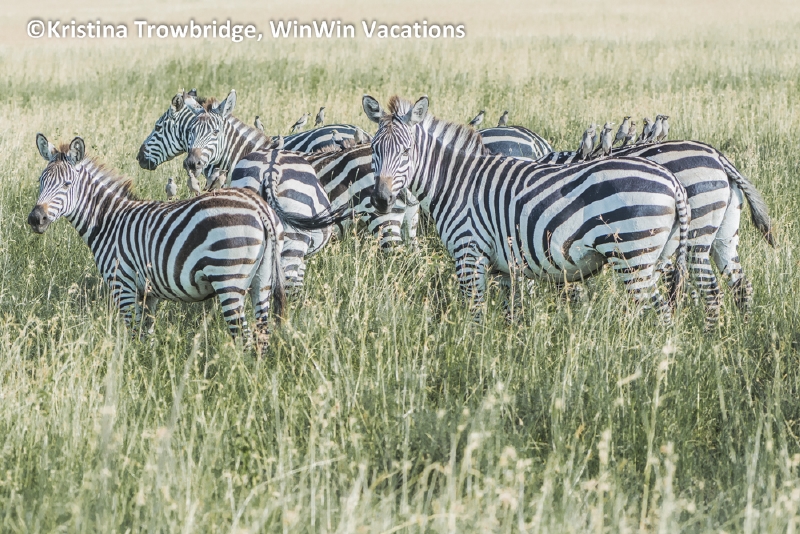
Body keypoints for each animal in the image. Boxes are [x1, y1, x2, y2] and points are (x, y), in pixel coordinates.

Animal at [29, 134, 286, 342]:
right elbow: (147, 335)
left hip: (229, 279)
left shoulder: (122, 285)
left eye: (66, 184)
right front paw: (148, 365)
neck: (107, 221)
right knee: (262, 335)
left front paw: (131, 366)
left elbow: (133, 334)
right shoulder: (148, 292)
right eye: (41, 181)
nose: (35, 218)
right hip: (262, 281)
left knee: (245, 337)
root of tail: (258, 207)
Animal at [363, 95, 691, 322]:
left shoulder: (469, 253)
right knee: (664, 313)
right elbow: (513, 316)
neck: (457, 181)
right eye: (374, 149)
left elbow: (475, 315)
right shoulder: (507, 268)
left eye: (406, 151)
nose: (380, 199)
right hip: (658, 257)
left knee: (652, 313)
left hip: (634, 256)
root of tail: (672, 182)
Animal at [539, 141, 774, 325]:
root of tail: (719, 158)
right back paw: (742, 329)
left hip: (696, 233)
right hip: (724, 234)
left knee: (709, 287)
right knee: (740, 283)